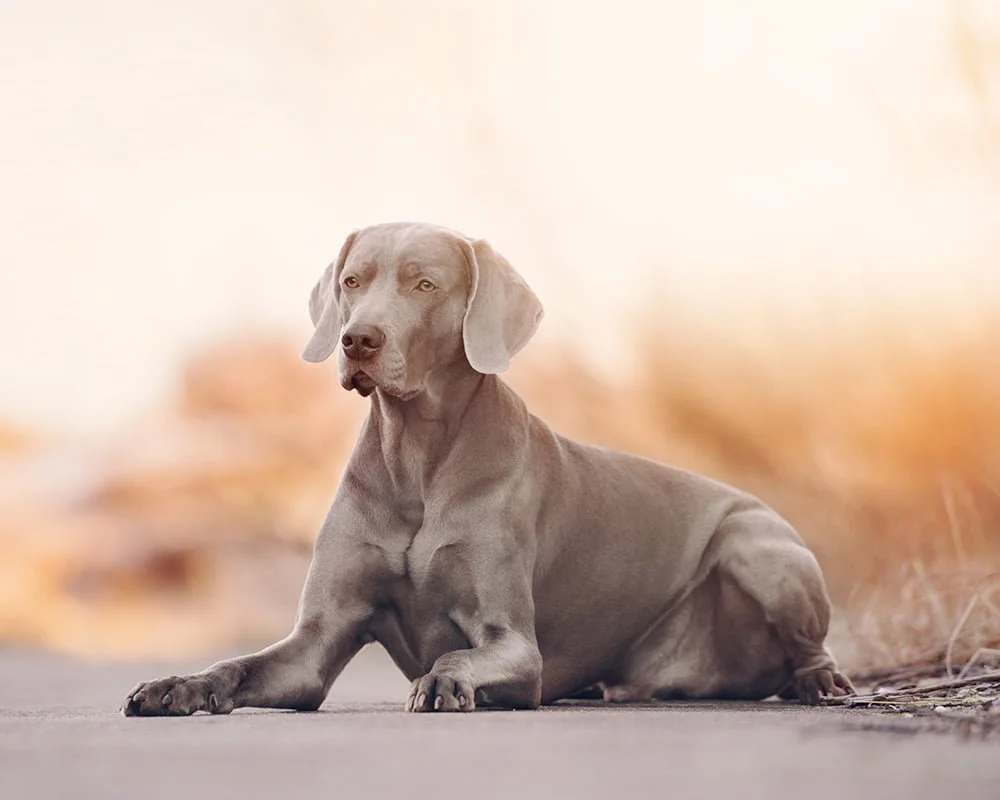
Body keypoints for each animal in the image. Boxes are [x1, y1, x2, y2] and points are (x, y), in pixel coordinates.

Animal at [119, 222, 852, 716]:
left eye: (424, 284)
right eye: (353, 281)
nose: (358, 339)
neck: (416, 458)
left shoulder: (516, 648)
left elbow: (461, 652)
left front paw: (446, 680)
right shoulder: (314, 645)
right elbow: (241, 665)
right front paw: (177, 685)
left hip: (760, 546)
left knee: (809, 647)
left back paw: (822, 683)